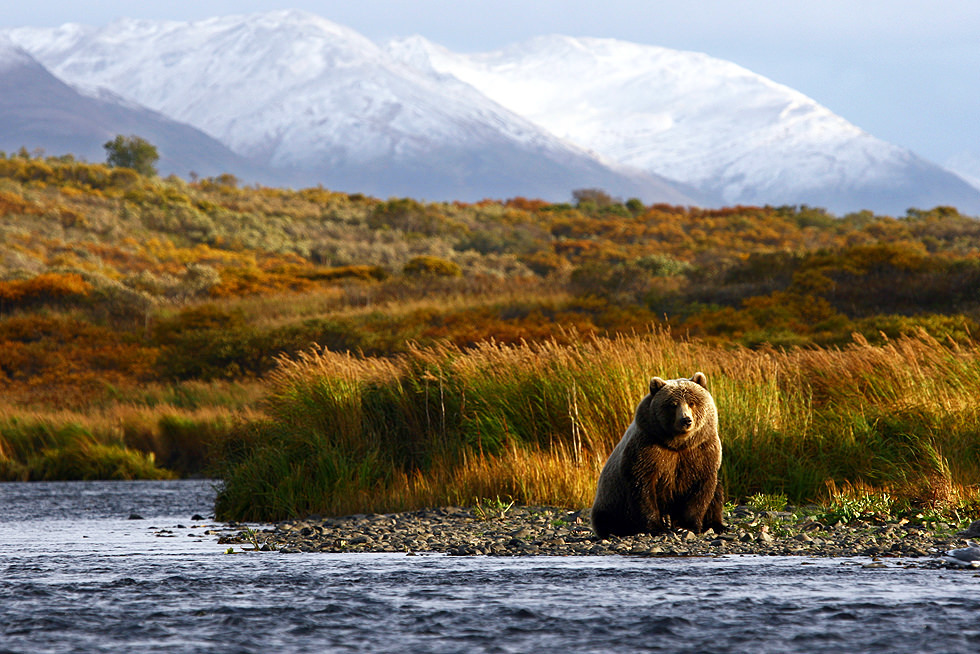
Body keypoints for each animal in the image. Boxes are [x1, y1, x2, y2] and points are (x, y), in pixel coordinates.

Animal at [590, 372, 725, 539]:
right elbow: (643, 488)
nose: (686, 420)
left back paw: (717, 525)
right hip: (610, 500)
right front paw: (656, 527)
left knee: (717, 494)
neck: (678, 444)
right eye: (673, 404)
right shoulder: (648, 449)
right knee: (608, 518)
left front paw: (687, 526)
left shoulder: (701, 450)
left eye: (692, 402)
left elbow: (700, 490)